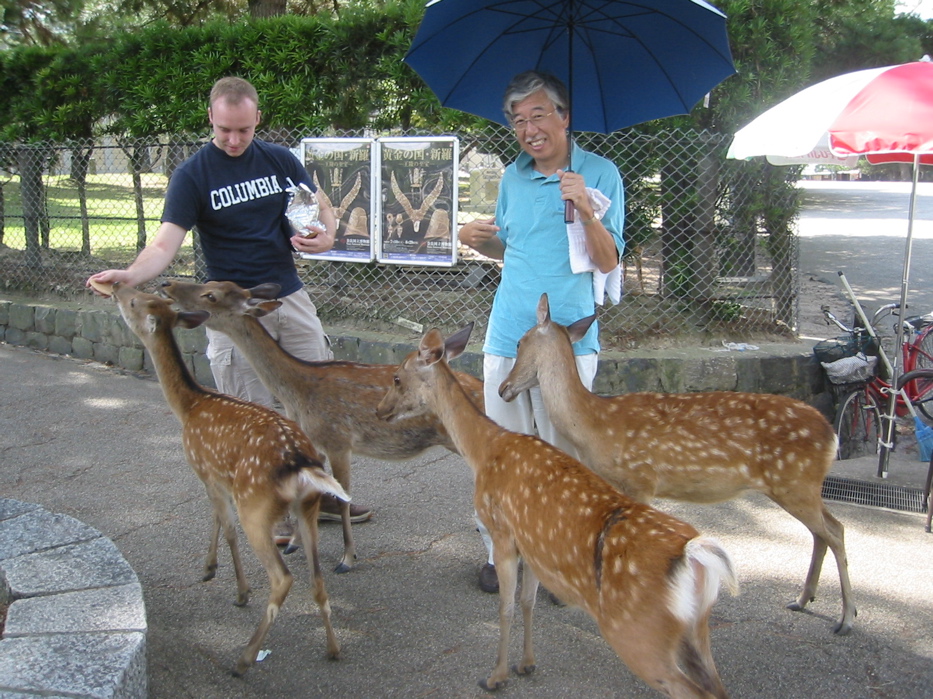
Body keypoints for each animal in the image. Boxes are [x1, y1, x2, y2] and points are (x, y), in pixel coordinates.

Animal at [111, 282, 348, 676]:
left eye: (134, 301)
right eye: (142, 296)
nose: (115, 285)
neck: (190, 406)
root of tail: (300, 464)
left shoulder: (205, 469)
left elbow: (226, 527)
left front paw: (235, 588)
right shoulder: (217, 478)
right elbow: (218, 521)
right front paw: (211, 569)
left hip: (255, 505)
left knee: (282, 577)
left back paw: (244, 658)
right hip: (308, 508)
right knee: (316, 578)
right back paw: (332, 649)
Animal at [159, 279, 485, 573]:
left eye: (210, 295)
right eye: (210, 281)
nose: (167, 284)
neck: (297, 394)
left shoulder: (338, 440)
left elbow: (342, 499)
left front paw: (347, 558)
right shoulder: (312, 443)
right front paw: (294, 543)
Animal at [376, 324, 738, 698]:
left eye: (397, 377)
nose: (379, 409)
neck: (485, 449)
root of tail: (695, 556)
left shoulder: (501, 531)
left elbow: (505, 607)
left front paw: (495, 676)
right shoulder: (534, 544)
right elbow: (527, 601)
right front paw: (527, 663)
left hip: (637, 632)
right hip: (696, 631)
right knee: (717, 687)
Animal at [498, 293, 855, 635]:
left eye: (519, 342)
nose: (503, 388)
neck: (595, 424)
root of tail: (832, 436)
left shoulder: (640, 479)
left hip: (795, 482)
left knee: (835, 531)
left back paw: (846, 618)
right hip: (799, 485)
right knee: (823, 532)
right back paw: (802, 599)